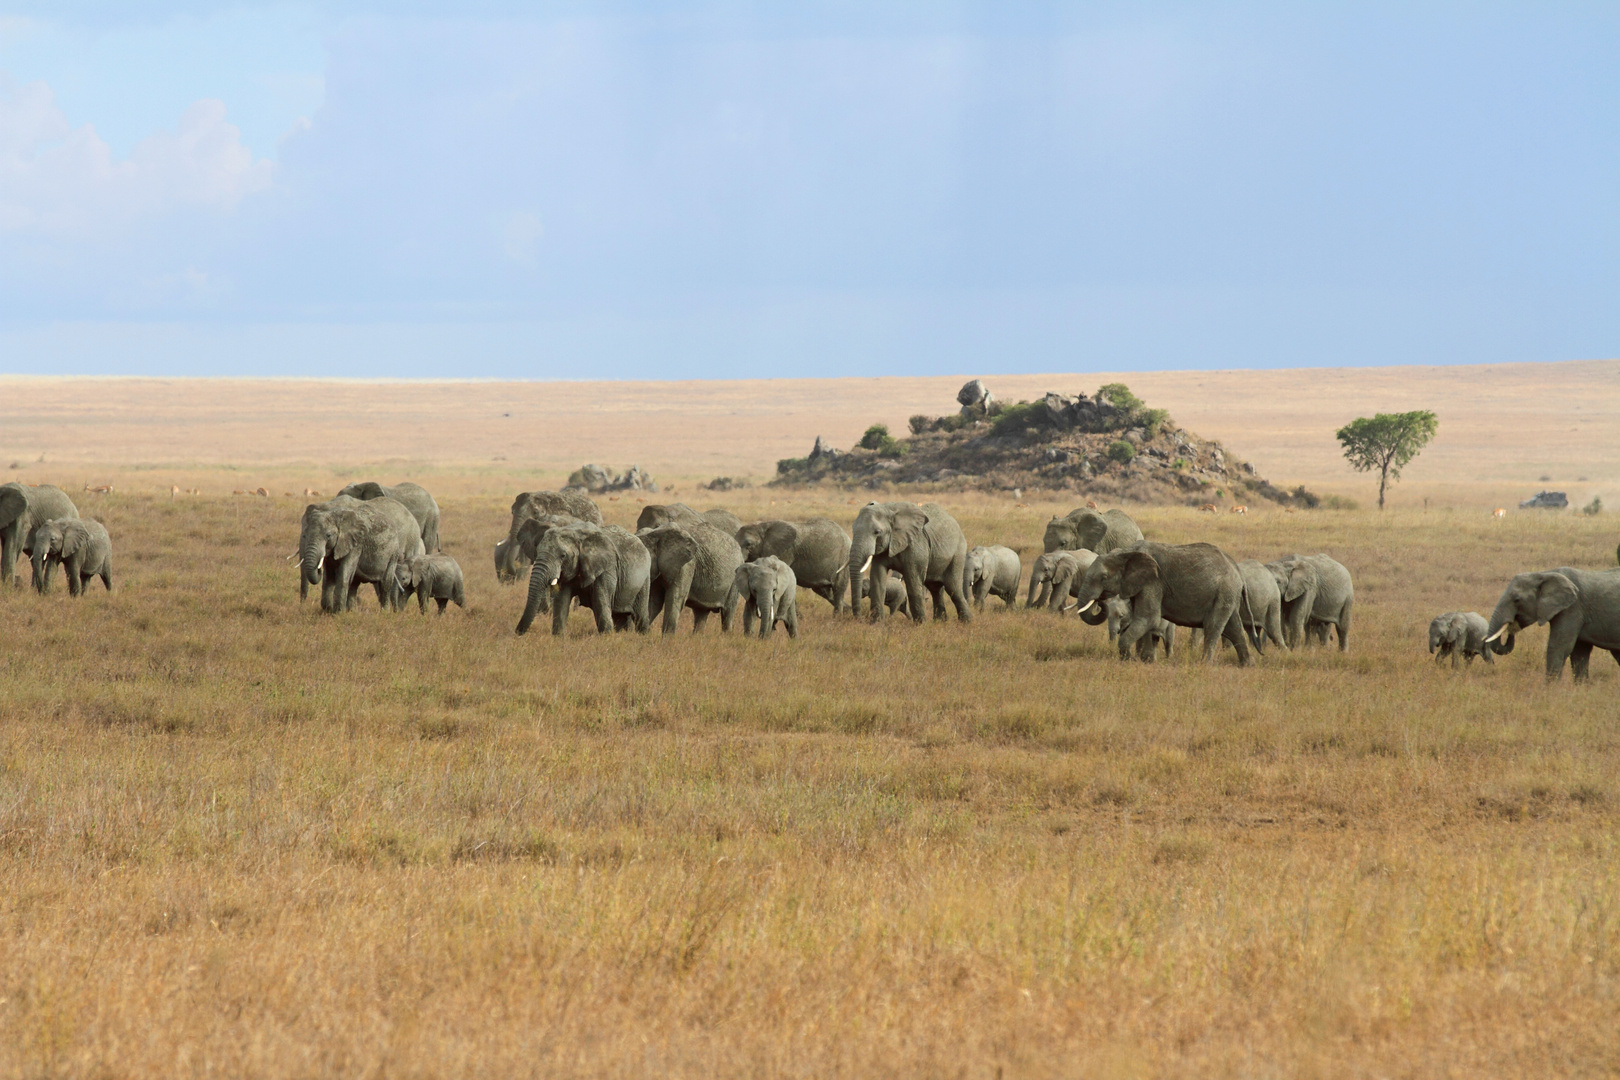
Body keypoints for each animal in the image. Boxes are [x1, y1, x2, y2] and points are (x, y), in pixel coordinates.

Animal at [515, 521, 648, 637]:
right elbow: (562, 602)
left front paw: (606, 639)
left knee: (640, 616)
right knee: (620, 616)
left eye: (563, 556)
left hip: (644, 579)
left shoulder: (607, 568)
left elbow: (601, 602)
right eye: (536, 552)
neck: (577, 533)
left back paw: (643, 637)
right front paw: (558, 638)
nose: (517, 633)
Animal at [1075, 544, 1250, 663]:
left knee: (1213, 626)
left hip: (1224, 592)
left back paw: (1204, 664)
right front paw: (1145, 660)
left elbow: (1148, 618)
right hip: (1228, 595)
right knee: (1234, 627)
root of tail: (1237, 570)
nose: (1099, 600)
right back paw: (1247, 665)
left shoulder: (1153, 582)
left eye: (1104, 577)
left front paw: (1129, 660)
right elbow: (1143, 620)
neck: (1127, 552)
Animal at [1483, 569, 1620, 680]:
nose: (1512, 625)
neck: (1544, 574)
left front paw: (1550, 691)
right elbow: (1579, 653)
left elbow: (1559, 647)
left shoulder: (1572, 609)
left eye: (1517, 600)